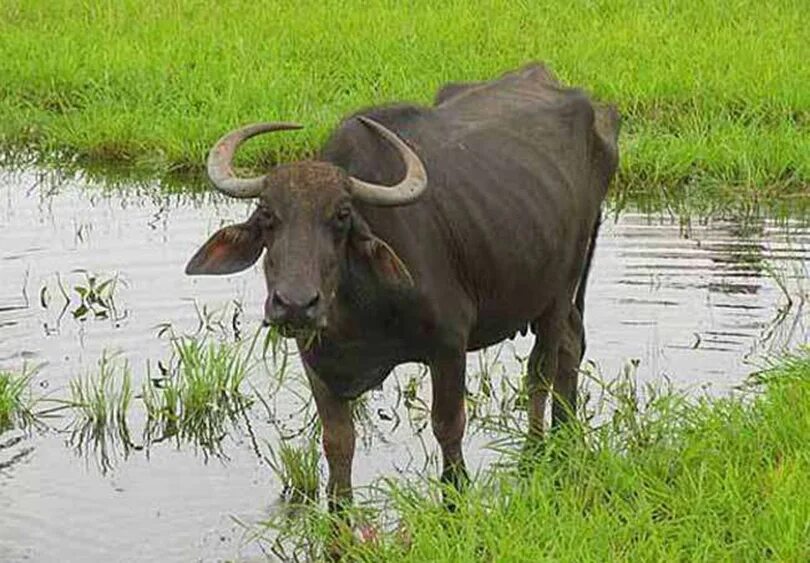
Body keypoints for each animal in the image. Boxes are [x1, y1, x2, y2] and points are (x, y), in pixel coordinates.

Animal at [186, 64, 620, 512]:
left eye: (342, 215)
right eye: (267, 215)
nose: (294, 305)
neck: (358, 310)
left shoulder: (449, 345)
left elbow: (448, 425)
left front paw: (454, 493)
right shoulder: (316, 360)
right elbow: (337, 442)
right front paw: (338, 509)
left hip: (559, 289)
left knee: (542, 370)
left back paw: (535, 452)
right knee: (570, 346)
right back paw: (565, 433)